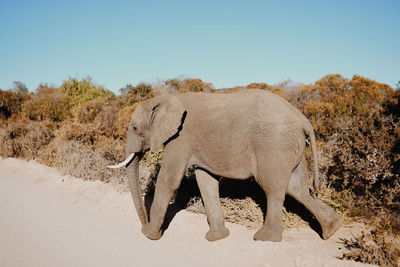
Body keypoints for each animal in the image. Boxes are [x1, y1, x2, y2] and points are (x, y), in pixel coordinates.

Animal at [108, 89, 342, 243]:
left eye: (135, 128)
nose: (143, 225)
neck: (163, 98)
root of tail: (304, 120)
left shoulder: (181, 138)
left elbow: (168, 180)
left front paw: (151, 236)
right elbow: (205, 181)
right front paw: (216, 238)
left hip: (274, 144)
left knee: (273, 187)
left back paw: (265, 238)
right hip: (291, 146)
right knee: (297, 188)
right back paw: (332, 229)